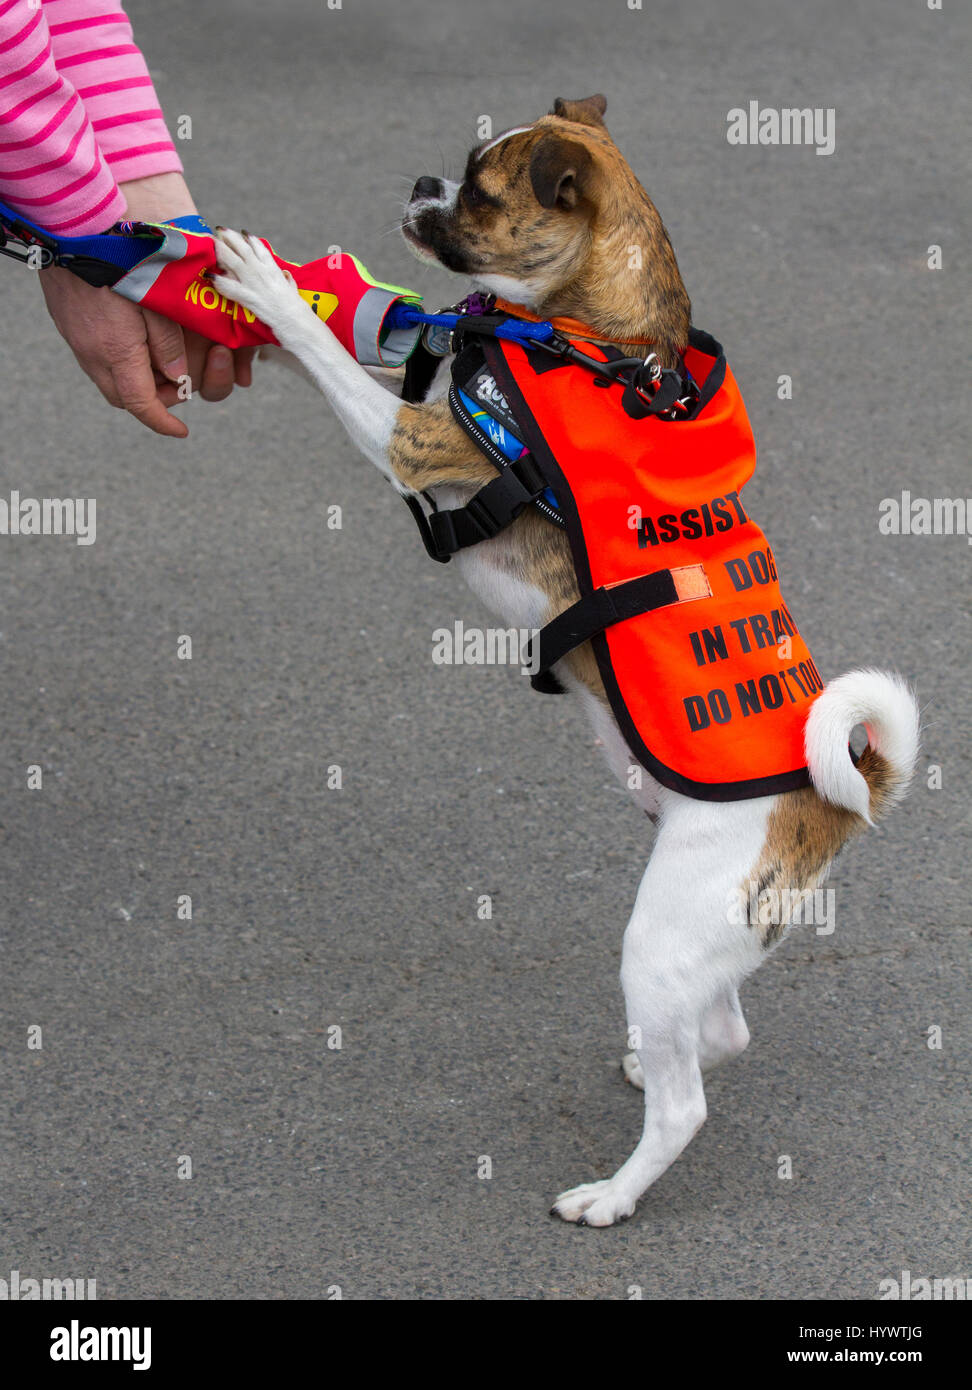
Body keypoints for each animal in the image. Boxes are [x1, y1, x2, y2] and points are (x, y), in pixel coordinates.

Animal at [211, 95, 917, 1228]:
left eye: (479, 189)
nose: (421, 182)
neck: (603, 344)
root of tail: (835, 800)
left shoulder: (414, 442)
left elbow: (327, 355)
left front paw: (269, 289)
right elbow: (342, 347)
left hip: (660, 939)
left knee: (686, 1104)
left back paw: (612, 1195)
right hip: (706, 944)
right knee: (721, 1032)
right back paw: (647, 1064)